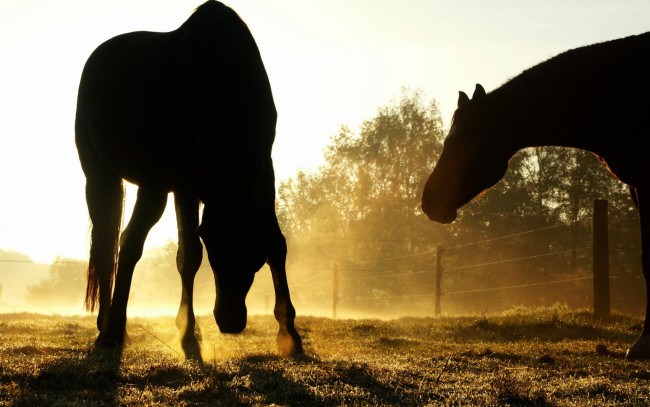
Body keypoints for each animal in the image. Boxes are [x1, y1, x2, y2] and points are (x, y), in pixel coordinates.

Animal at [75, 0, 302, 356]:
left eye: (254, 258)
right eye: (217, 252)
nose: (230, 321)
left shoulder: (264, 172)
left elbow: (277, 245)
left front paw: (289, 331)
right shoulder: (179, 184)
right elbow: (185, 254)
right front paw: (185, 331)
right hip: (105, 176)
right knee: (111, 246)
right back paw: (108, 330)